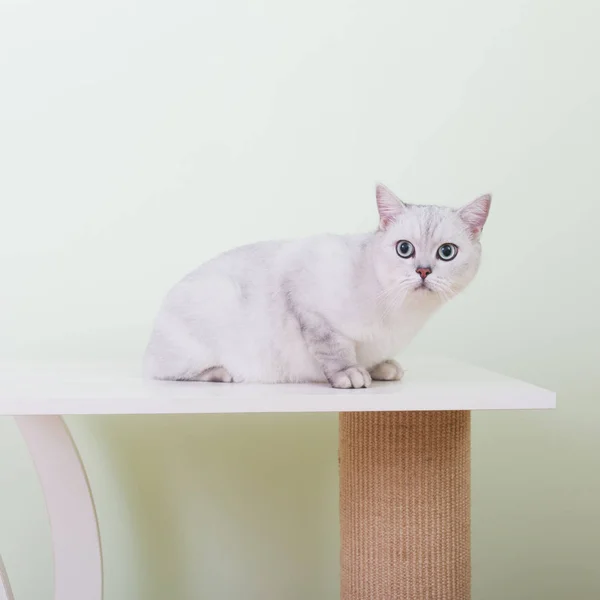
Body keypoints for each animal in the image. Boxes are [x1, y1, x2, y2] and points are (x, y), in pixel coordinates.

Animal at [144, 184, 492, 390]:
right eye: (404, 249)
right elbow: (336, 351)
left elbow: (373, 356)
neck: (403, 313)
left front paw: (382, 367)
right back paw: (220, 373)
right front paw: (352, 374)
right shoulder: (309, 304)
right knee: (166, 372)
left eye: (446, 253)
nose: (422, 271)